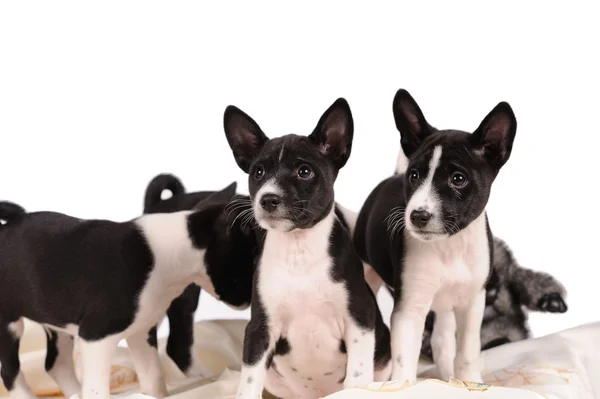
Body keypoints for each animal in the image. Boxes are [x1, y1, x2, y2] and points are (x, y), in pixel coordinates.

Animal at [0, 184, 236, 399]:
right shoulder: (96, 337)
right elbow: (96, 388)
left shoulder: (141, 331)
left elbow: (153, 375)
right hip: (10, 324)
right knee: (11, 372)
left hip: (56, 322)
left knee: (57, 364)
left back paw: (75, 393)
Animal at [223, 97, 392, 399]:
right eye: (258, 172)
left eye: (304, 172)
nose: (268, 199)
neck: (298, 250)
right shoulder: (260, 329)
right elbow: (249, 381)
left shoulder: (359, 320)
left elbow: (357, 375)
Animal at [354, 88, 516, 384]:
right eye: (414, 175)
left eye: (458, 179)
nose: (418, 215)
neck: (449, 247)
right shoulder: (409, 309)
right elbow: (404, 361)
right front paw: (403, 386)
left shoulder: (472, 302)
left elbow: (468, 351)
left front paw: (469, 382)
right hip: (368, 270)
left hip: (446, 304)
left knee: (442, 341)